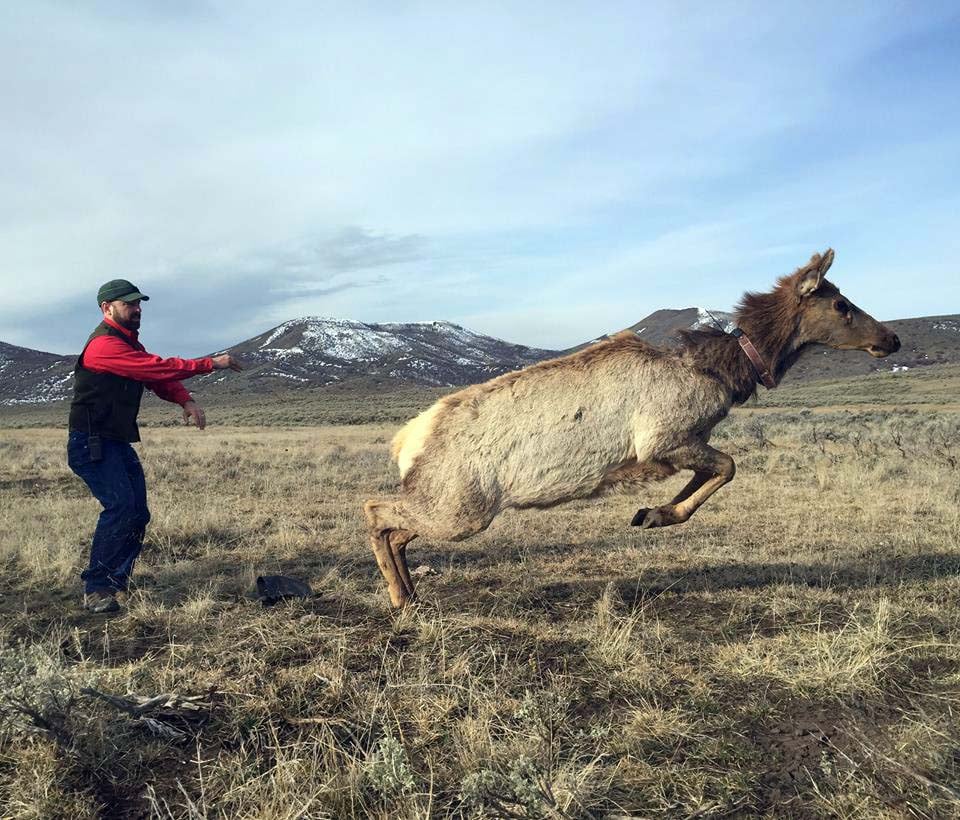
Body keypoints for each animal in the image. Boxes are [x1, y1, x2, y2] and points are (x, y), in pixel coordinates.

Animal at [366, 247, 900, 604]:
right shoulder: (662, 439)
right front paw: (658, 513)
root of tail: (404, 443)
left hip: (447, 503)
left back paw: (410, 595)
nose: (891, 338)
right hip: (462, 509)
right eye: (841, 304)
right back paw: (398, 596)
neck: (727, 375)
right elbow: (728, 467)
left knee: (397, 527)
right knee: (376, 510)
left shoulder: (683, 444)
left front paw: (653, 513)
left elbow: (711, 474)